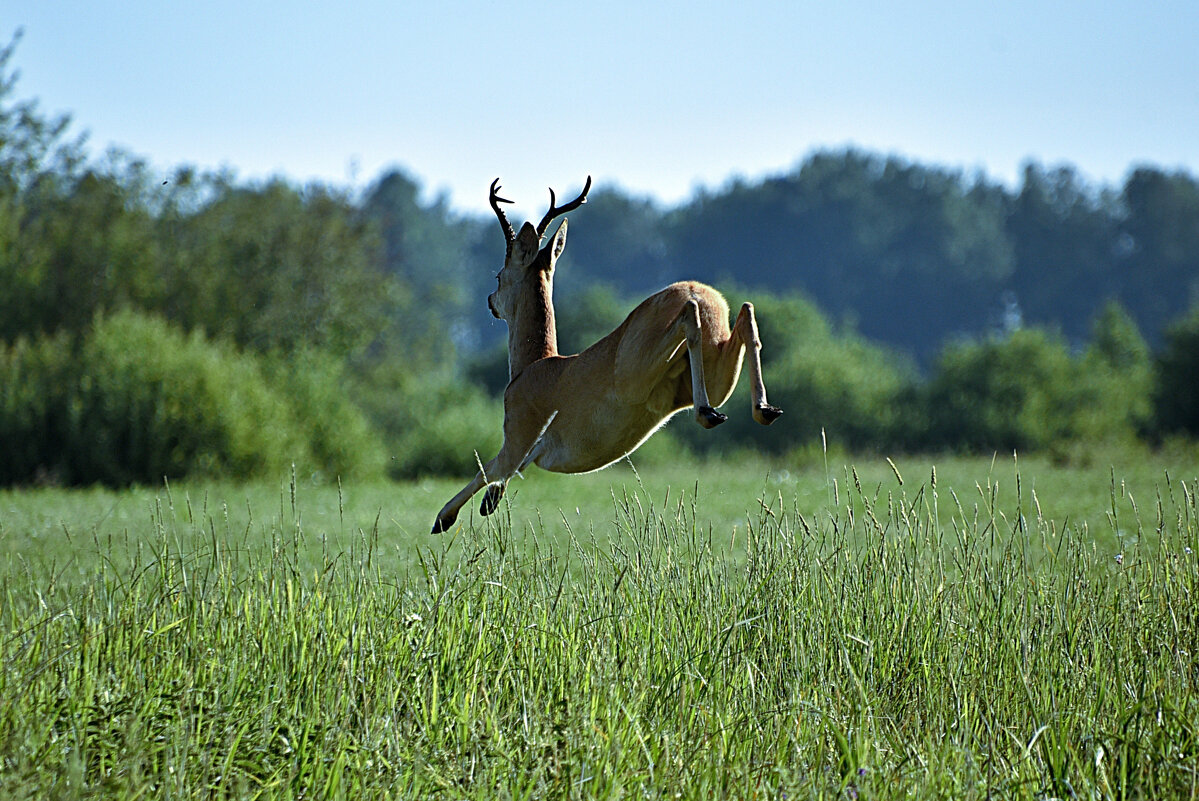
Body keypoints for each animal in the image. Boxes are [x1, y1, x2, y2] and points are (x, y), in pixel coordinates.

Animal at [431, 178, 786, 534]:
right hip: (715, 374)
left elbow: (487, 469)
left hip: (636, 375)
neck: (533, 367)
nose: (490, 300)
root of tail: (706, 295)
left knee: (691, 316)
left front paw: (442, 519)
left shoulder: (518, 441)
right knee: (746, 314)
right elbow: (496, 477)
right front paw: (488, 502)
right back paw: (763, 409)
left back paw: (708, 412)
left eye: (499, 275)